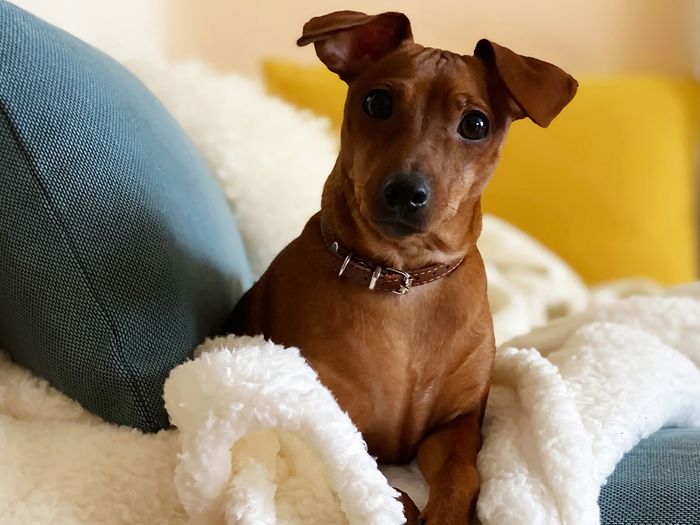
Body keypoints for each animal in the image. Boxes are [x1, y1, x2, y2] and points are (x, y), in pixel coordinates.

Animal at [227, 10, 576, 520]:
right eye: (377, 102)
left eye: (476, 124)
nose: (406, 192)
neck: (403, 280)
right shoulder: (337, 421)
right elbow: (380, 485)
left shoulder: (453, 426)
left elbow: (463, 477)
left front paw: (448, 516)